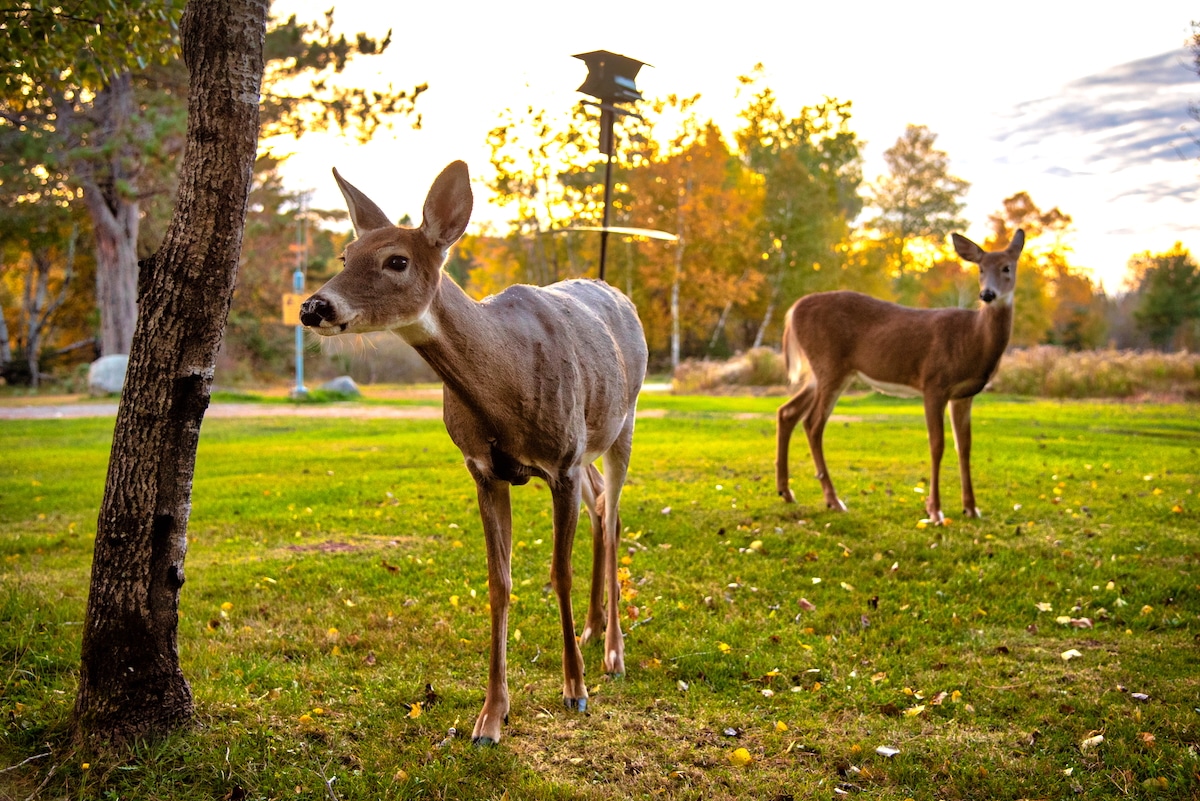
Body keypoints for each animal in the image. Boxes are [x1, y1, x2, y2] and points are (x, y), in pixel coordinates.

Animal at [300, 160, 652, 743]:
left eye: (396, 260)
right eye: (345, 256)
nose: (313, 306)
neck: (505, 385)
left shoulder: (561, 464)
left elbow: (559, 574)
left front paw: (575, 691)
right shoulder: (484, 470)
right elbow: (498, 583)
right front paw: (491, 716)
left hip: (622, 421)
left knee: (616, 511)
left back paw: (612, 653)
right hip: (588, 448)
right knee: (602, 503)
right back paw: (592, 628)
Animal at [777, 227, 1022, 522]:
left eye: (1007, 267)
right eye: (981, 268)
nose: (987, 294)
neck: (973, 338)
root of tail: (793, 310)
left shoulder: (964, 394)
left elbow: (964, 447)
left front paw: (971, 508)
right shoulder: (934, 382)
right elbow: (937, 444)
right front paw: (935, 511)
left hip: (823, 372)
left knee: (787, 412)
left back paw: (786, 492)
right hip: (830, 365)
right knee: (813, 423)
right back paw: (833, 501)